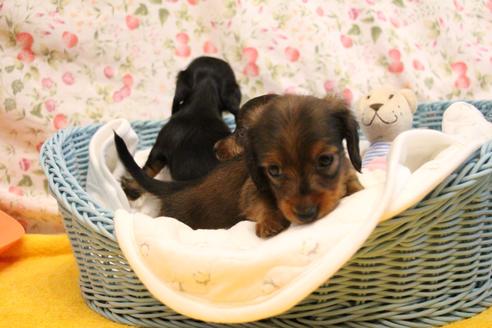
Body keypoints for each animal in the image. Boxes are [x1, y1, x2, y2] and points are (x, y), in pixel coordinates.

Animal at [114, 93, 362, 237]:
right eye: (274, 170)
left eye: (325, 160)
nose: (215, 147)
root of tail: (178, 187)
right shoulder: (252, 191)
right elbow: (263, 204)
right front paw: (270, 222)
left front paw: (354, 188)